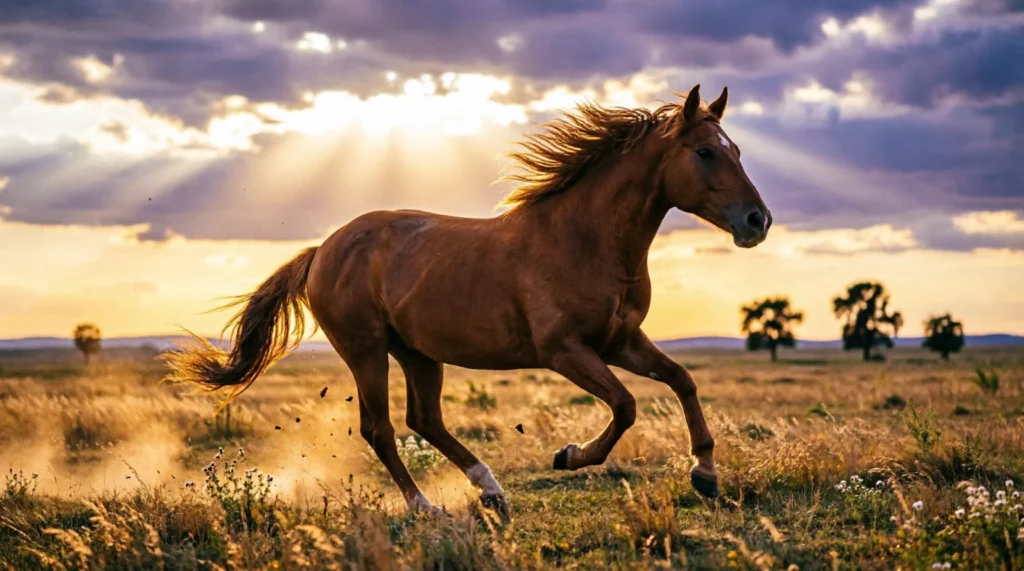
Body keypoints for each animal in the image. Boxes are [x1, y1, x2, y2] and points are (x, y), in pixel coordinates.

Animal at [165, 84, 772, 517]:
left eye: (739, 151)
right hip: (366, 351)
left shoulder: (621, 340)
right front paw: (569, 456)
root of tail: (323, 250)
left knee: (425, 419)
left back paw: (492, 491)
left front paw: (706, 473)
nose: (757, 221)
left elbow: (682, 380)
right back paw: (426, 507)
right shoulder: (564, 351)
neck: (584, 239)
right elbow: (625, 405)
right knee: (382, 429)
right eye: (704, 152)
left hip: (417, 353)